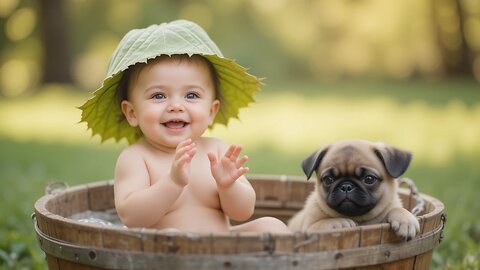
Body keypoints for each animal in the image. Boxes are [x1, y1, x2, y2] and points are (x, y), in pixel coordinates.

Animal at [288, 140, 420, 239]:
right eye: (328, 179)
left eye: (369, 179)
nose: (346, 186)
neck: (360, 219)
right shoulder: (309, 228)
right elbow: (322, 223)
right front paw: (341, 222)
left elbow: (397, 209)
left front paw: (406, 220)